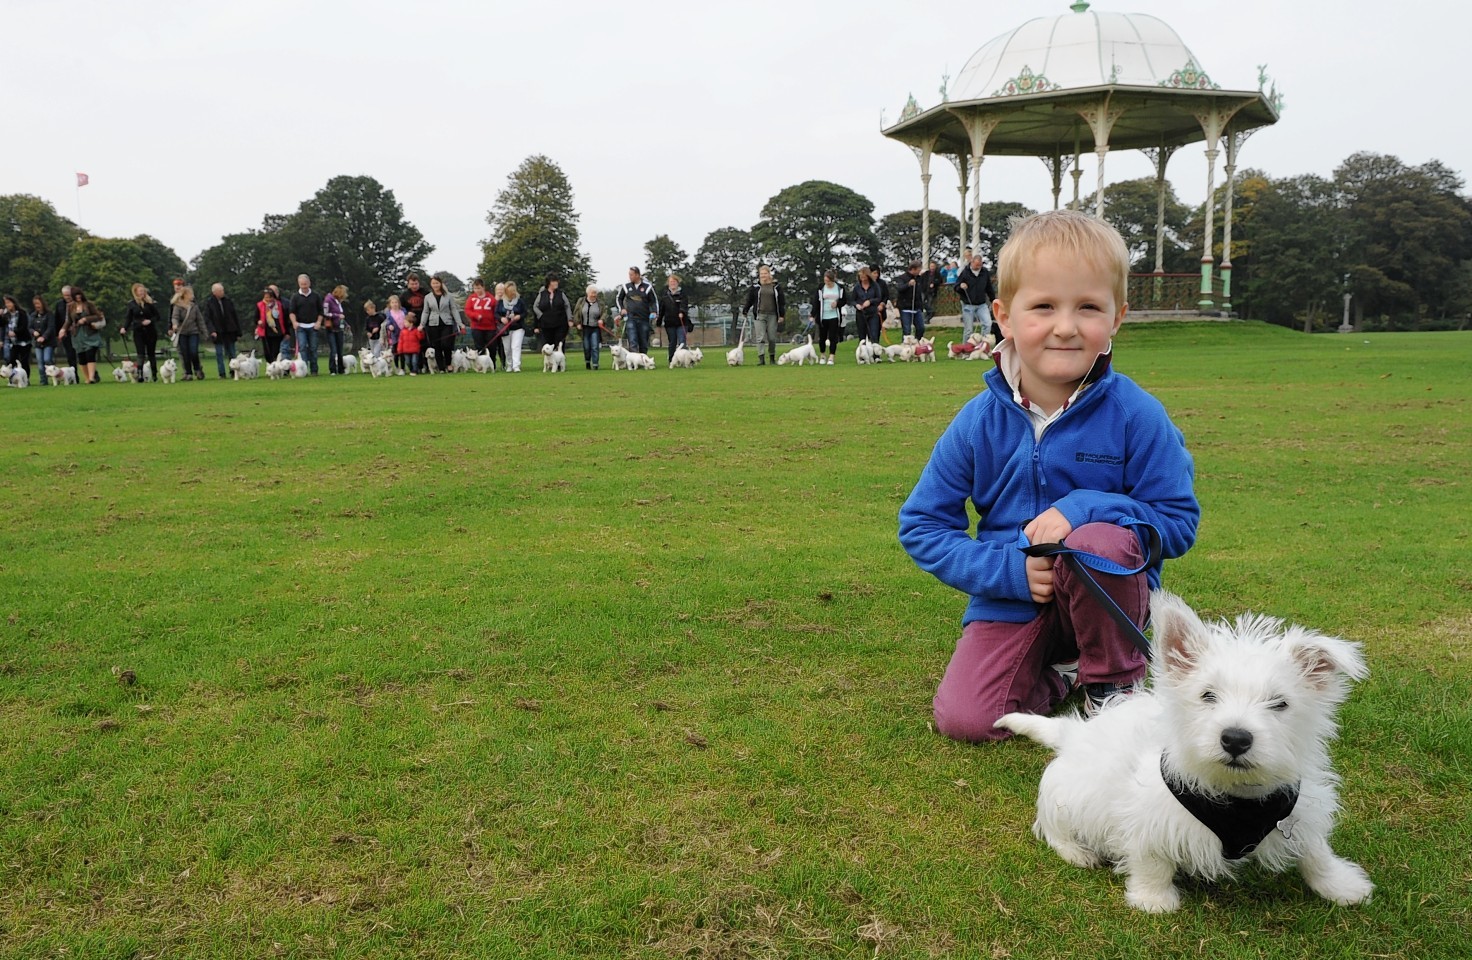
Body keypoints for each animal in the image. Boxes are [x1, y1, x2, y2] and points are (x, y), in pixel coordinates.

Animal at [995, 591, 1371, 912]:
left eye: (1280, 703)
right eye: (1208, 695)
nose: (1235, 739)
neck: (1236, 795)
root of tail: (1075, 732)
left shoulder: (1299, 810)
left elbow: (1315, 851)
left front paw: (1341, 885)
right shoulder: (1148, 813)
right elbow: (1152, 859)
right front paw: (1152, 898)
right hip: (1066, 793)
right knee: (1051, 825)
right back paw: (1075, 851)